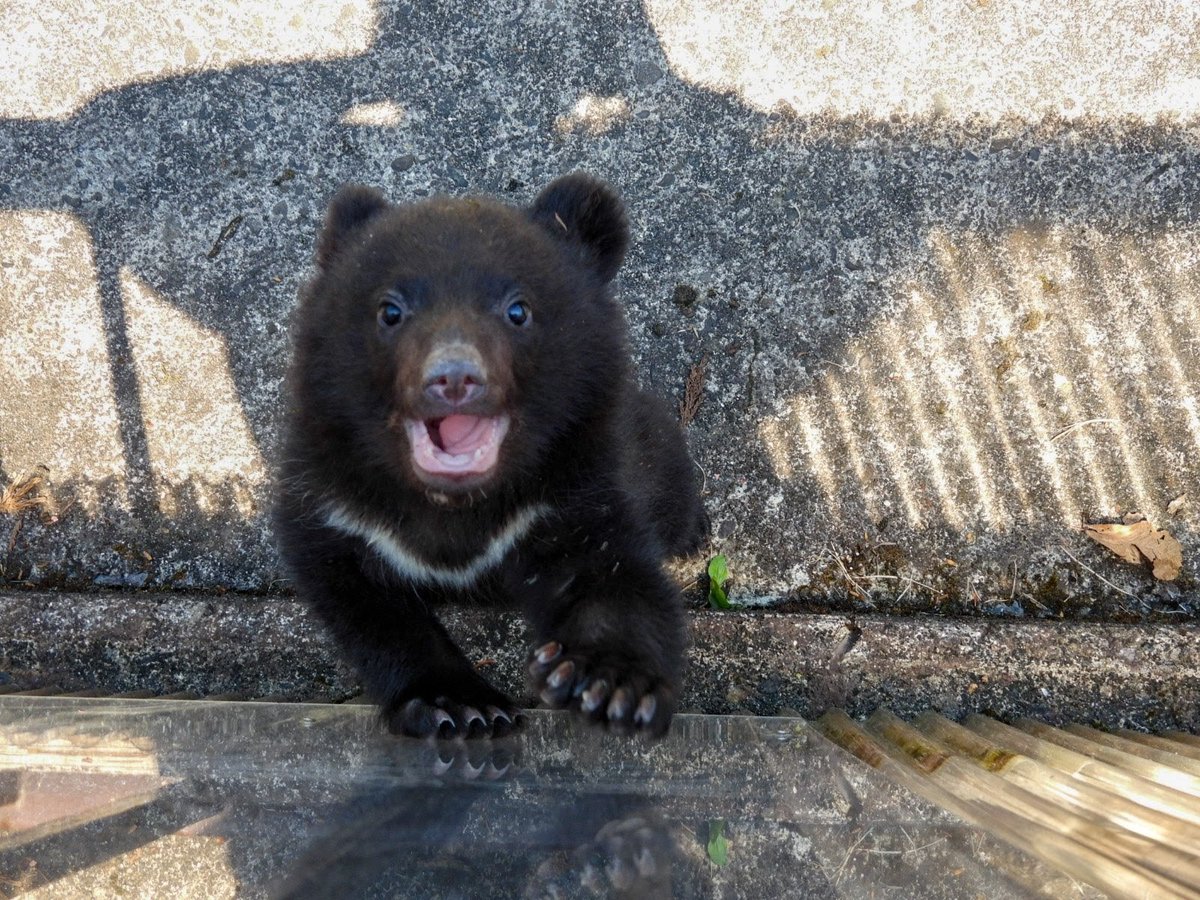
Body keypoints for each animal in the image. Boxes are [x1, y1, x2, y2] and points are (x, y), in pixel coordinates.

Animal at [274, 173, 708, 739]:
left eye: (517, 310)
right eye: (390, 311)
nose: (454, 378)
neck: (456, 507)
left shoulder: (578, 485)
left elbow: (615, 575)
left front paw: (609, 682)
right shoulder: (332, 498)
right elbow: (365, 604)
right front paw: (459, 705)